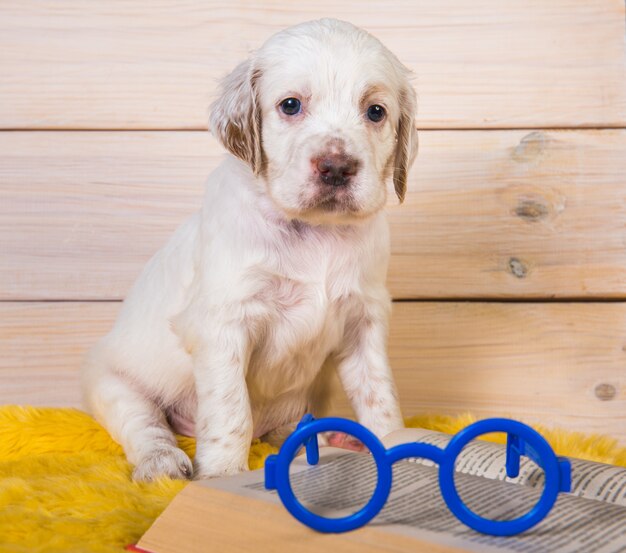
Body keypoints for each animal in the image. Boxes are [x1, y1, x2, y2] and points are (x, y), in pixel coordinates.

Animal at [81, 18, 414, 478]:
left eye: (376, 112)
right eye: (290, 105)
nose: (336, 167)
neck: (316, 230)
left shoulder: (364, 319)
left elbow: (380, 395)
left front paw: (399, 446)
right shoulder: (224, 324)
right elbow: (230, 409)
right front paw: (223, 474)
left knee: (294, 429)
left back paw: (335, 438)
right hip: (113, 382)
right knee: (145, 424)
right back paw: (162, 462)